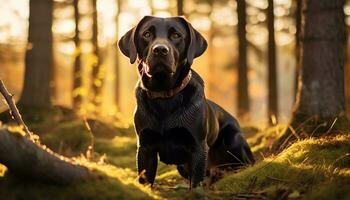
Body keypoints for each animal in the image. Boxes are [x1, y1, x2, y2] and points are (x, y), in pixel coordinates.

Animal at [118, 16, 254, 188]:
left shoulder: (197, 147)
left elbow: (195, 184)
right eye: (147, 34)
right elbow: (145, 179)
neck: (164, 95)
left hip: (234, 141)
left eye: (176, 35)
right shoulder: (145, 146)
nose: (160, 50)